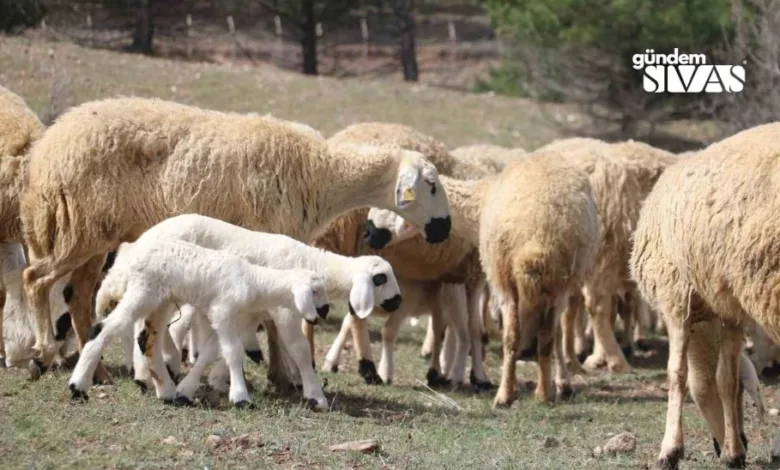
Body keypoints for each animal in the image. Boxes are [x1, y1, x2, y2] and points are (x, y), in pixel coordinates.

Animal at [18, 96, 450, 386]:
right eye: (430, 184)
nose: (444, 229)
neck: (323, 175)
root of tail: (46, 150)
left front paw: (278, 373)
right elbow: (275, 319)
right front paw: (284, 375)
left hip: (92, 232)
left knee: (76, 295)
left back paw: (100, 372)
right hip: (79, 228)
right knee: (35, 279)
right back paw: (42, 353)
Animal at [68, 239, 332, 408]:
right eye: (316, 291)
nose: (327, 310)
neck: (255, 281)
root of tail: (129, 253)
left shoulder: (227, 318)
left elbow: (212, 352)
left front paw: (186, 391)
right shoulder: (222, 311)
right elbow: (233, 351)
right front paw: (241, 398)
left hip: (161, 300)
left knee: (147, 340)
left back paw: (167, 392)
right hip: (142, 292)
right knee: (103, 329)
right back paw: (78, 386)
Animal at [628, 123, 780, 468]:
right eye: (743, 394)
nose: (744, 443)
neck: (704, 318)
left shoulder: (674, 298)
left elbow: (679, 375)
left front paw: (670, 451)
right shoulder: (728, 310)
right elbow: (725, 377)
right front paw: (734, 453)